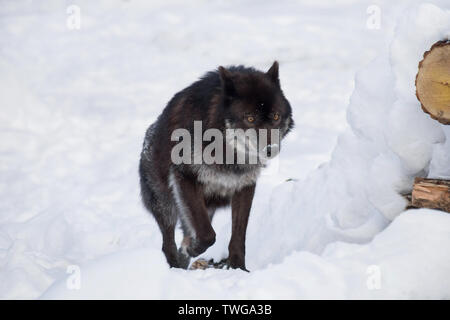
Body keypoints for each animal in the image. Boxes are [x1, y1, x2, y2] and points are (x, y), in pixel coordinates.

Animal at [141, 62, 296, 270]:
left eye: (276, 116)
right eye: (250, 118)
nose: (270, 149)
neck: (227, 153)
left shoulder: (244, 186)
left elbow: (238, 237)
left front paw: (238, 268)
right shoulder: (185, 178)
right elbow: (208, 235)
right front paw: (193, 249)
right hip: (166, 206)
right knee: (168, 244)